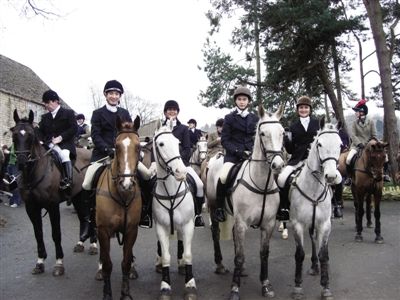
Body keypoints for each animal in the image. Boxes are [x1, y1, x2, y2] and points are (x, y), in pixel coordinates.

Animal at [9, 109, 91, 276]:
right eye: (14, 134)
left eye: (31, 135)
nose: (21, 162)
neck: (34, 173)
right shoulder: (31, 208)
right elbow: (38, 234)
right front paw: (40, 262)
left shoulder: (52, 206)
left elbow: (56, 234)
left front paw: (59, 263)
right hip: (78, 196)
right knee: (83, 218)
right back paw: (81, 242)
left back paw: (94, 246)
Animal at [95, 115, 142, 300]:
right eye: (116, 147)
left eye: (138, 147)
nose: (126, 184)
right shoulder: (103, 230)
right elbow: (108, 264)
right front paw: (107, 294)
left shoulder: (131, 230)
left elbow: (126, 263)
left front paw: (125, 293)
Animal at [152, 120, 198, 300]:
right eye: (161, 144)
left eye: (177, 143)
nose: (180, 172)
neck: (170, 192)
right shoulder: (161, 227)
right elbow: (165, 256)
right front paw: (165, 285)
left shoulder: (188, 224)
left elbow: (188, 254)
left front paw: (190, 283)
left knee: (181, 241)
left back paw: (182, 264)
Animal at [206, 104, 284, 298]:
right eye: (262, 133)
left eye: (282, 132)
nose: (278, 165)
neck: (262, 184)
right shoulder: (242, 223)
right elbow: (240, 256)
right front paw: (235, 288)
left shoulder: (268, 224)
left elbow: (264, 253)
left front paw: (266, 285)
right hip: (213, 206)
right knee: (215, 233)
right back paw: (220, 265)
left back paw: (239, 271)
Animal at [290, 120, 342, 300]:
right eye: (319, 144)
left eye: (340, 145)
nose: (331, 176)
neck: (313, 188)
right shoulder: (297, 224)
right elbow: (299, 254)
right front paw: (297, 287)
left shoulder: (325, 224)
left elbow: (324, 254)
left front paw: (326, 287)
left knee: (314, 240)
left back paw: (315, 266)